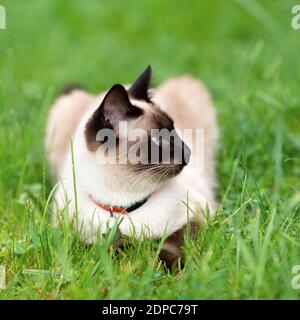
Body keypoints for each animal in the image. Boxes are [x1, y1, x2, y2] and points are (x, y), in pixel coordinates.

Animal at [45, 66, 218, 266]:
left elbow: (170, 245)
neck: (122, 205)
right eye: (159, 140)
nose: (188, 153)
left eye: (175, 131)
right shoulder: (74, 238)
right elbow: (106, 248)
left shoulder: (198, 216)